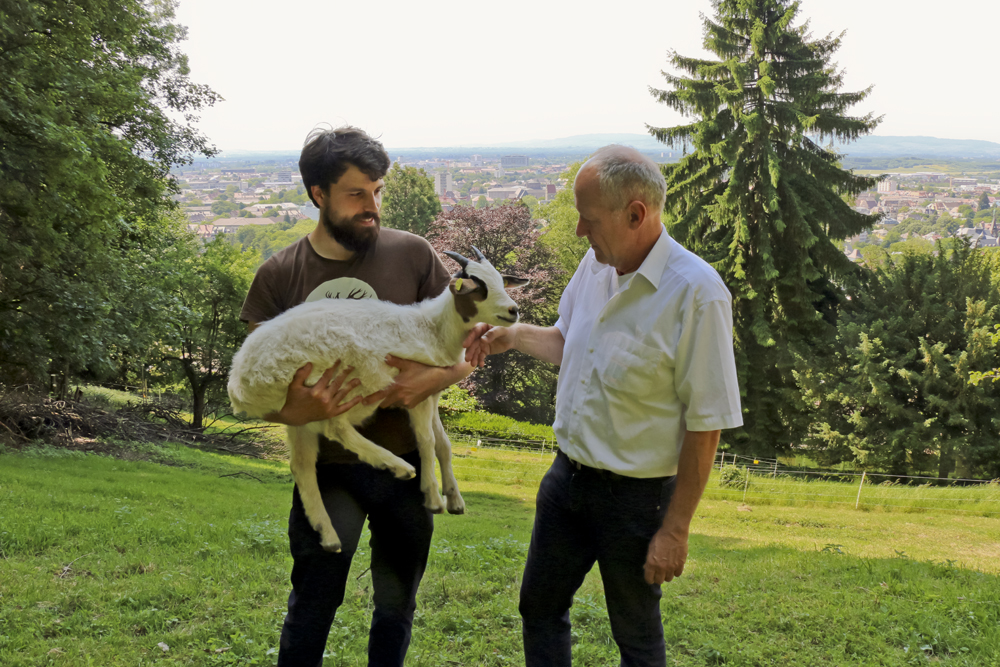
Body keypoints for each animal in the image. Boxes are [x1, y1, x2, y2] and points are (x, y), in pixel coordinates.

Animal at [229, 250, 532, 552]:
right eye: (478, 288)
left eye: (500, 281)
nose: (513, 310)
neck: (432, 329)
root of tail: (239, 383)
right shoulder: (416, 392)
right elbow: (427, 441)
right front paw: (433, 498)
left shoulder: (431, 391)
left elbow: (444, 444)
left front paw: (455, 500)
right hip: (326, 387)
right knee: (336, 429)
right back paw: (397, 466)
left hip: (298, 414)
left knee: (302, 466)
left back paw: (328, 536)